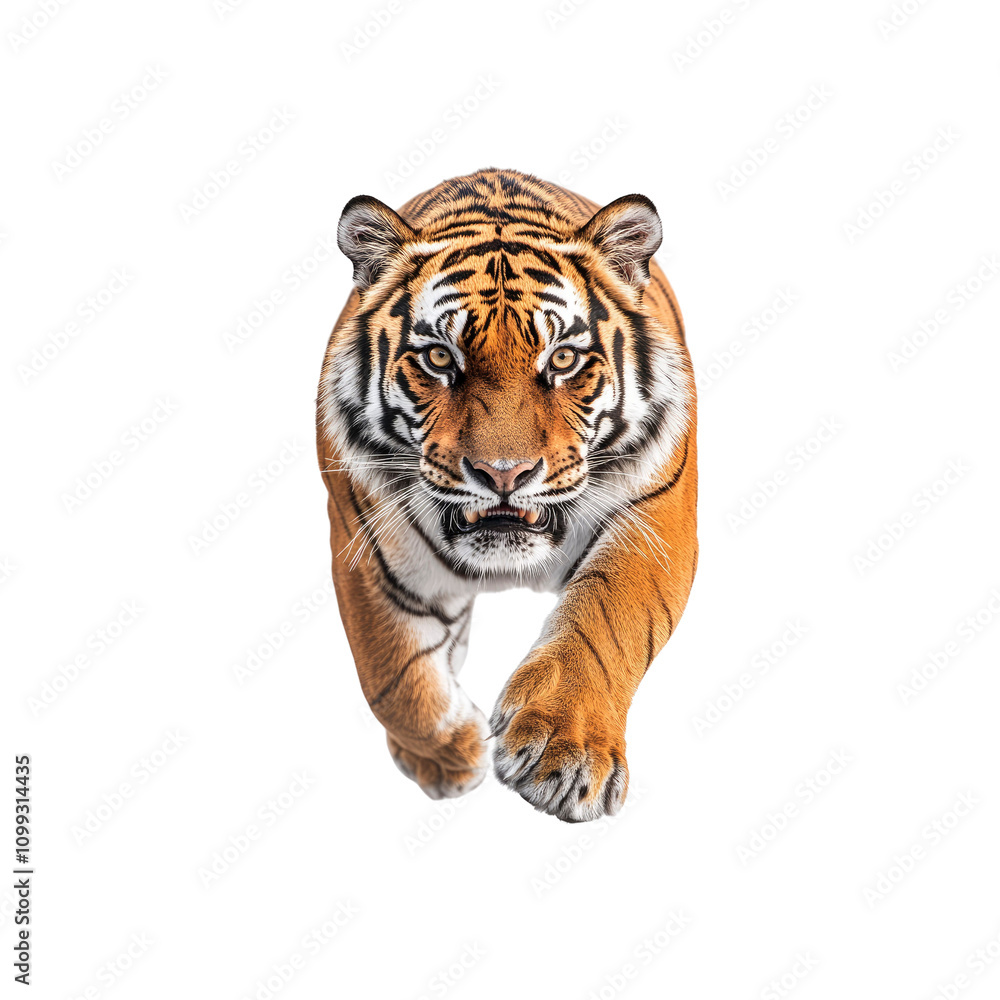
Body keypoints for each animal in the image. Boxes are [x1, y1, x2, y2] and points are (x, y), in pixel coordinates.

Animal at [316, 168, 697, 822]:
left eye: (563, 358)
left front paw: (564, 756)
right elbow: (392, 674)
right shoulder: (364, 542)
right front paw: (451, 758)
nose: (503, 473)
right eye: (439, 357)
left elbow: (605, 622)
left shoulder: (656, 520)